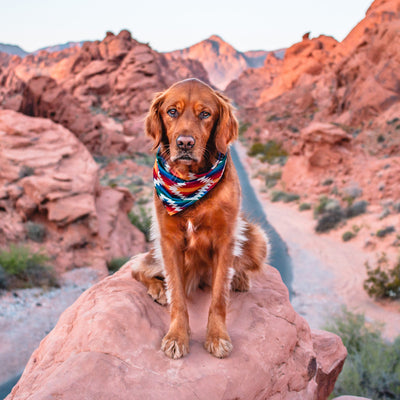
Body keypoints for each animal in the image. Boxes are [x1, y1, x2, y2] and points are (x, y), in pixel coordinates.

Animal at [132, 78, 268, 360]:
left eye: (205, 114)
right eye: (172, 111)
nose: (185, 143)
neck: (189, 181)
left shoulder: (226, 238)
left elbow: (219, 298)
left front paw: (217, 337)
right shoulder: (168, 240)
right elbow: (177, 296)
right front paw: (177, 337)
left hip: (257, 238)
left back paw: (239, 278)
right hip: (156, 252)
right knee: (138, 268)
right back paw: (158, 289)